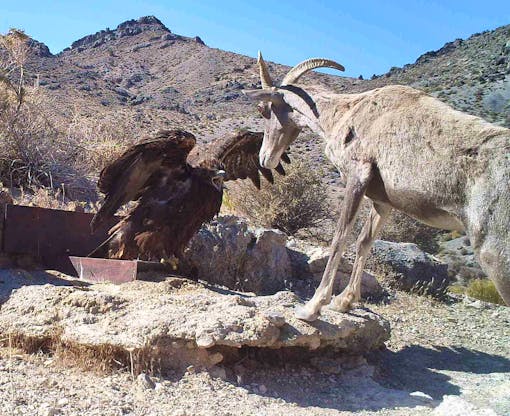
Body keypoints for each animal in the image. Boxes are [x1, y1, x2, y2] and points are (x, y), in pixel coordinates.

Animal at [243, 52, 510, 322]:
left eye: (263, 109)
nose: (265, 158)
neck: (346, 114)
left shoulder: (357, 177)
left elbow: (340, 237)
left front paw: (312, 307)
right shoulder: (382, 202)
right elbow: (364, 241)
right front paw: (344, 302)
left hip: (496, 258)